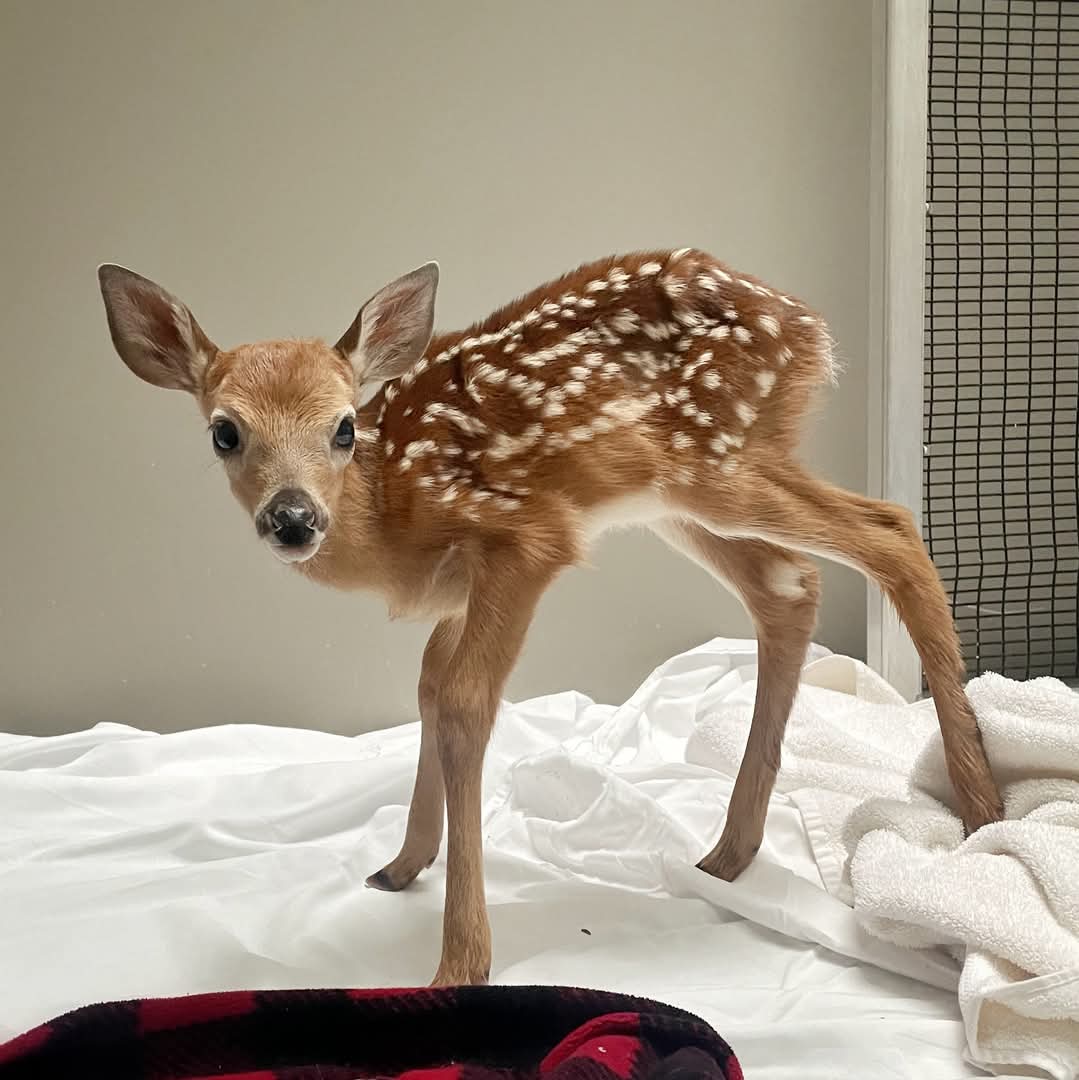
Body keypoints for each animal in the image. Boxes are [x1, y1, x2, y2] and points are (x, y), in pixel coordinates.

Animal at [97, 247, 1004, 986]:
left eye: (343, 427)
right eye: (225, 432)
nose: (292, 519)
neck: (389, 509)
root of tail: (806, 324)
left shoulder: (524, 539)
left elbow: (464, 704)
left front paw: (460, 961)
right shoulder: (460, 590)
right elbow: (427, 686)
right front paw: (402, 863)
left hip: (719, 462)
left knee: (889, 530)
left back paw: (980, 807)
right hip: (680, 497)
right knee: (791, 585)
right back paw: (728, 852)